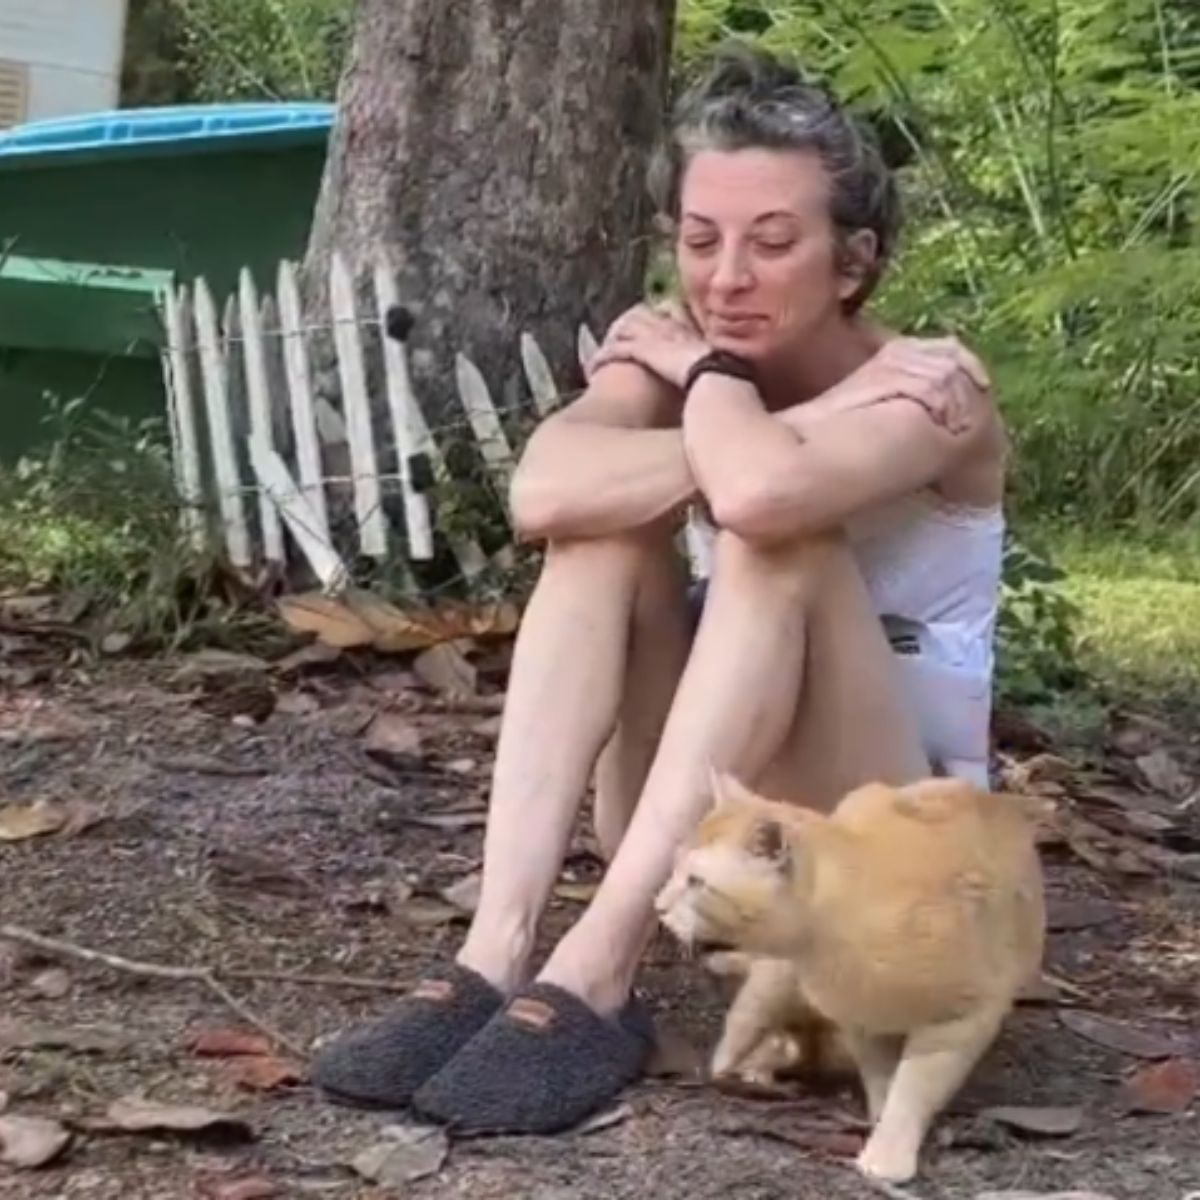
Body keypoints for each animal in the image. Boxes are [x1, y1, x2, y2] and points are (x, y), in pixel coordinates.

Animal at [657, 768, 1051, 1180]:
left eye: (696, 882)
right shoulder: (859, 1020)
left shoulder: (960, 1021)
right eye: (675, 869)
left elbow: (913, 1087)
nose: (658, 906)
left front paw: (889, 1143)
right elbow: (879, 1074)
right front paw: (879, 1114)